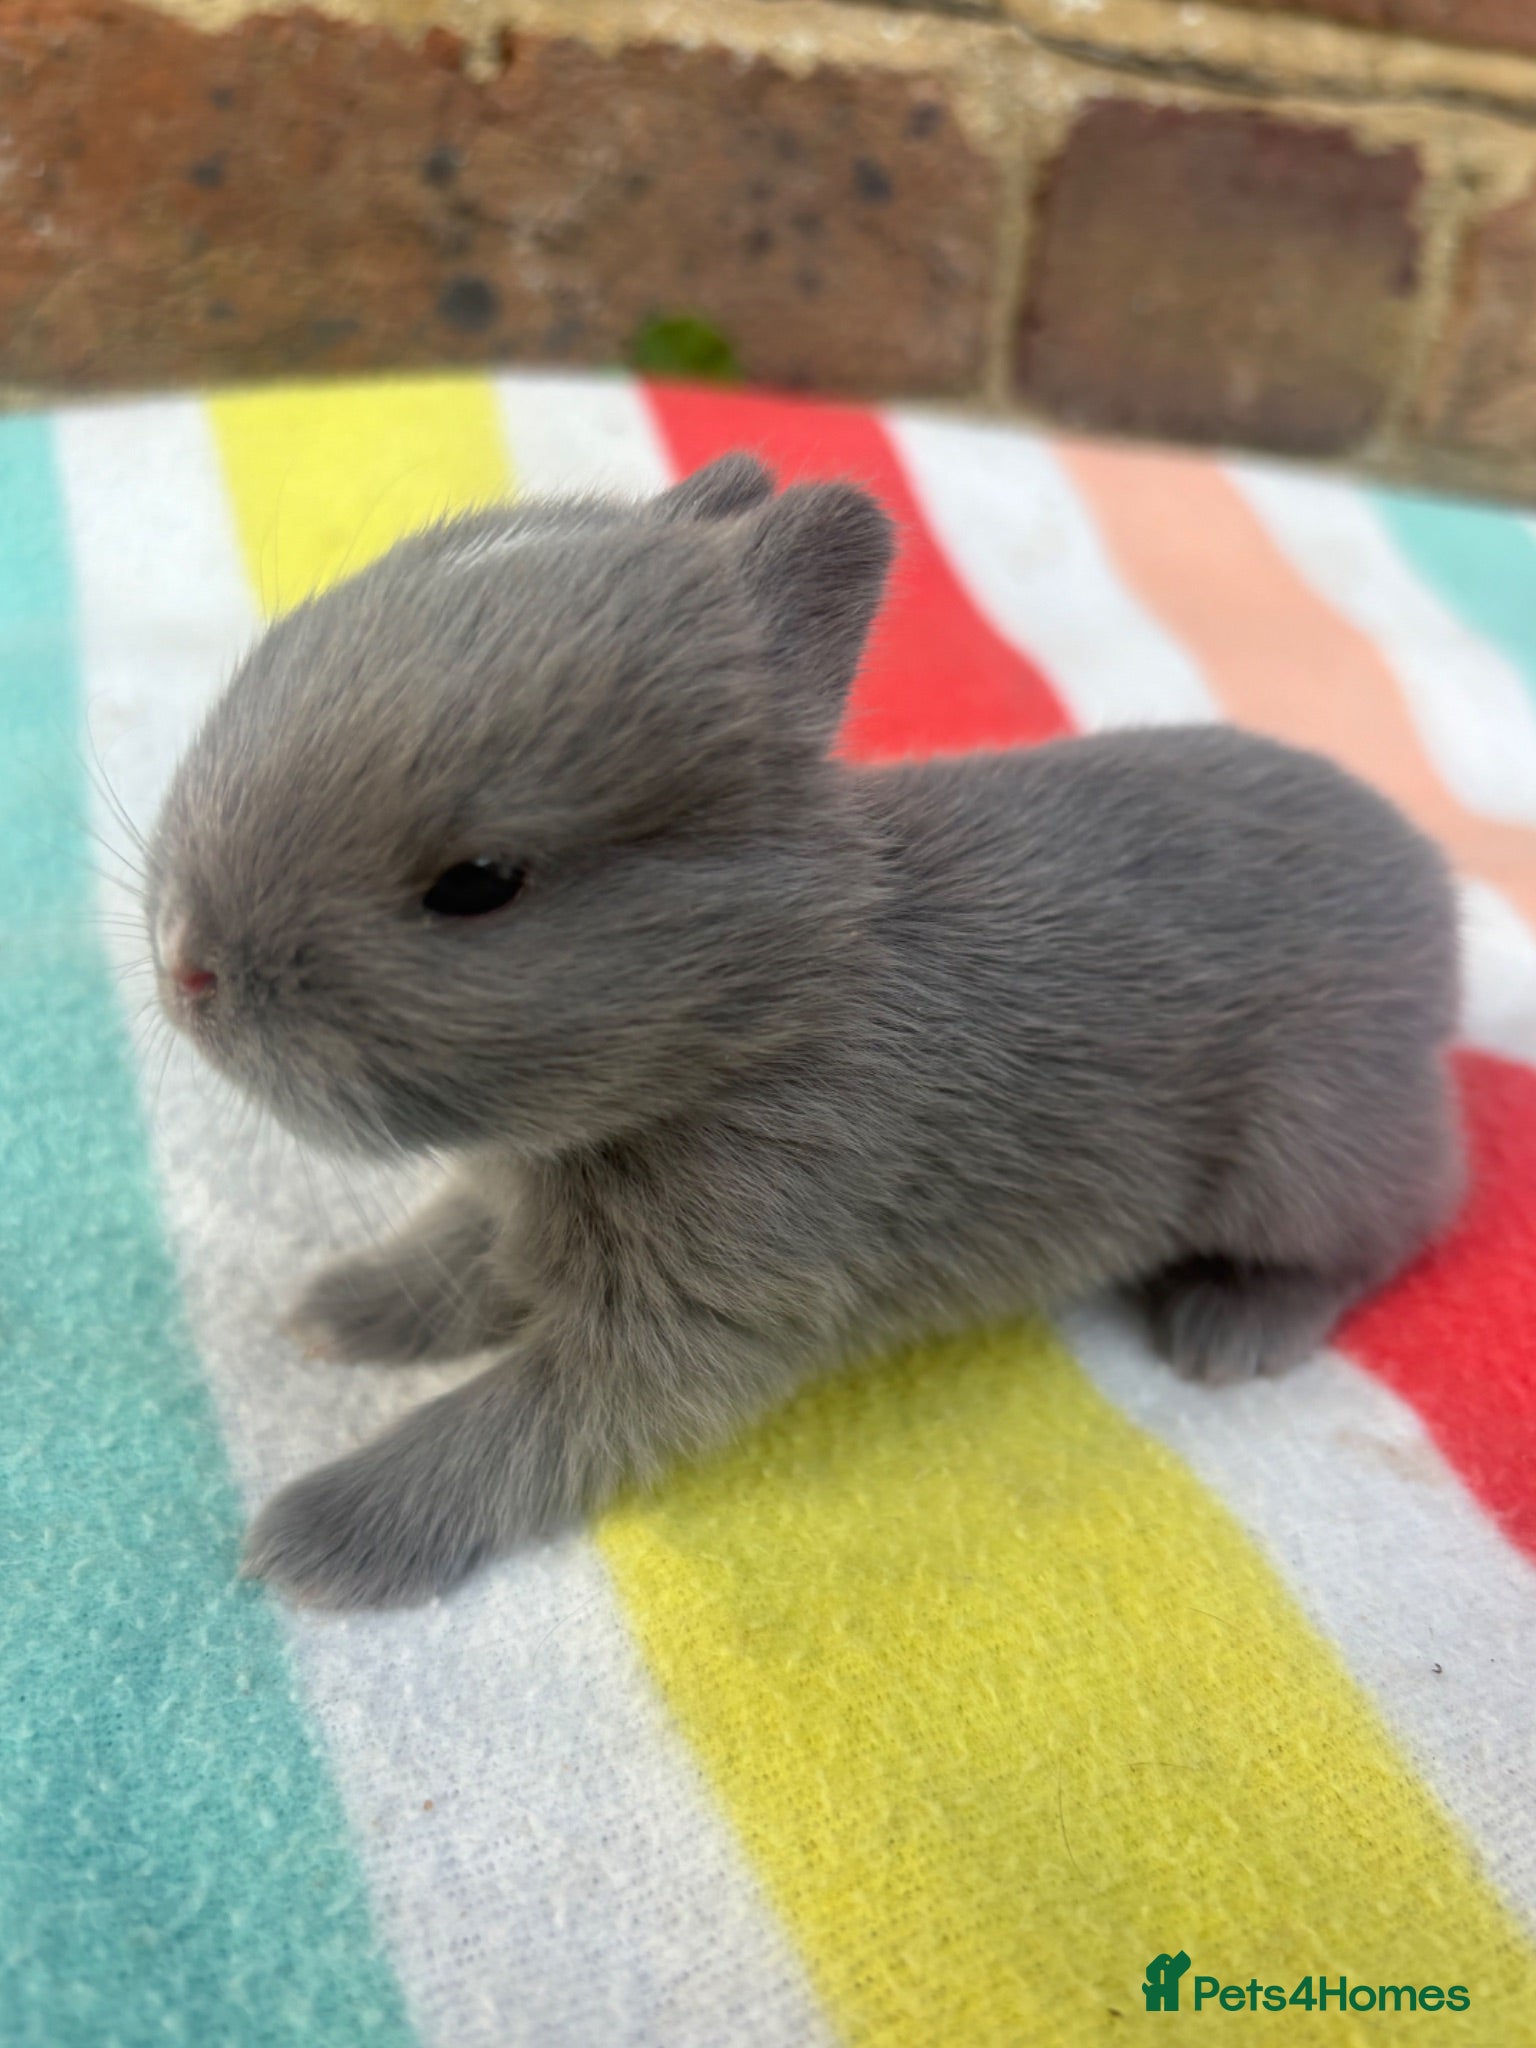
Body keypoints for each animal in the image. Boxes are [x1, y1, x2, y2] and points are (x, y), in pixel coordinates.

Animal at [146, 451, 1465, 1609]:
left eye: (478, 883)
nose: (184, 965)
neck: (755, 1011)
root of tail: (1434, 902)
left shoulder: (695, 1323)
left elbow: (503, 1430)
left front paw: (319, 1540)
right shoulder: (513, 1196)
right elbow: (450, 1255)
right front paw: (337, 1311)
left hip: (1305, 1151)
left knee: (1406, 1222)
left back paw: (1230, 1326)